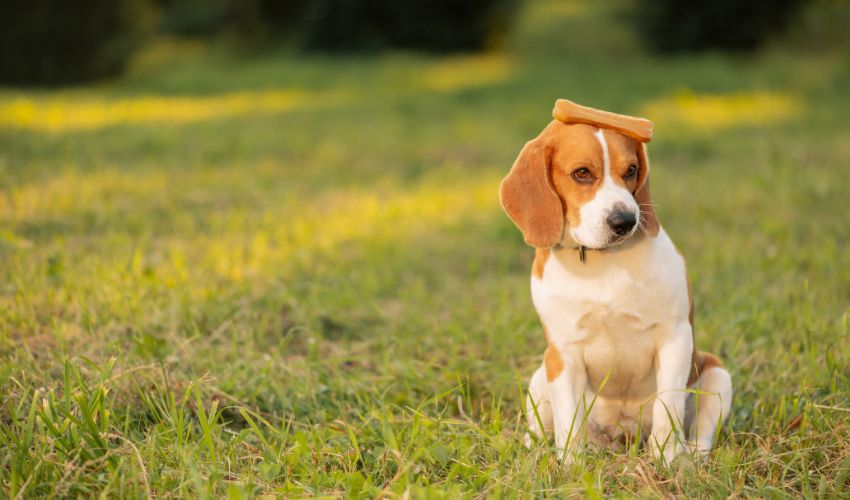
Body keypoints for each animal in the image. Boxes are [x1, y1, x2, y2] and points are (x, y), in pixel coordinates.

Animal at [496, 99, 728, 462]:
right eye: (582, 173)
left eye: (631, 170)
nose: (625, 221)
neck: (601, 263)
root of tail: (623, 434)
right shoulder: (563, 355)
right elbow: (568, 423)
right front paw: (571, 466)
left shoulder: (675, 338)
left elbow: (668, 410)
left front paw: (664, 461)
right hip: (540, 377)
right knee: (542, 430)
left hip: (718, 376)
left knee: (701, 434)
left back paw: (689, 457)